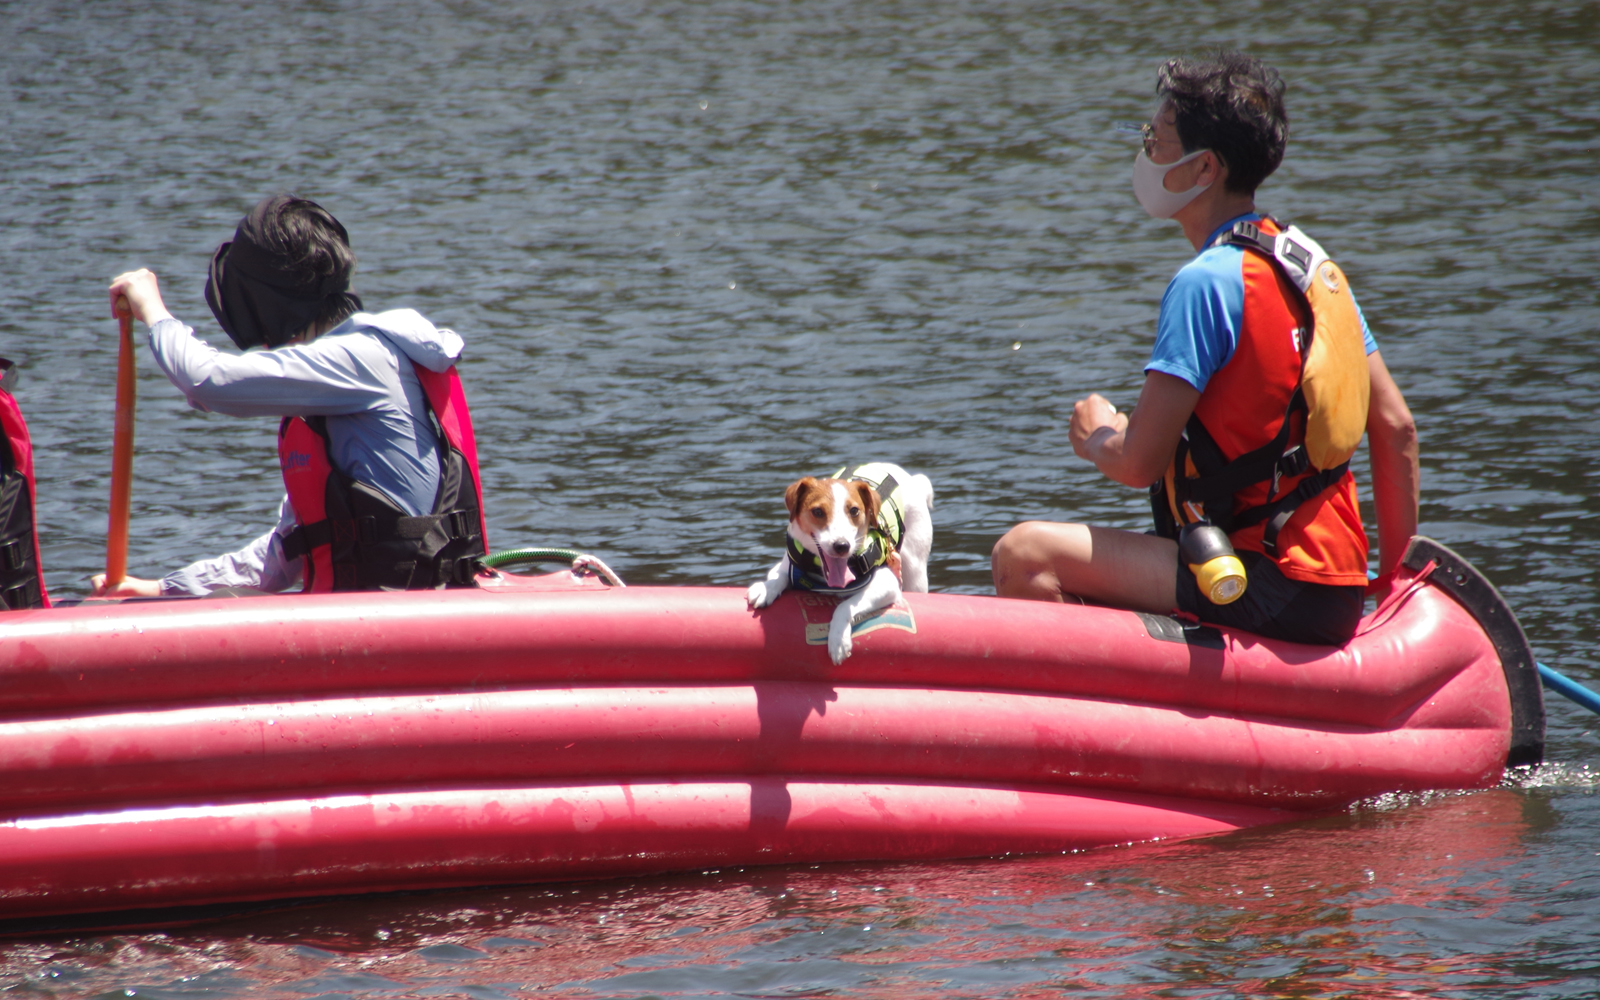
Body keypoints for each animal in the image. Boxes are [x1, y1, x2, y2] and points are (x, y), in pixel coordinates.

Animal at [742, 460, 934, 662]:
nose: (842, 545)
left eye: (854, 510)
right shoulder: (787, 564)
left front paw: (838, 640)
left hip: (916, 572)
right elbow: (778, 575)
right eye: (817, 511)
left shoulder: (887, 584)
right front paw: (766, 588)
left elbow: (844, 606)